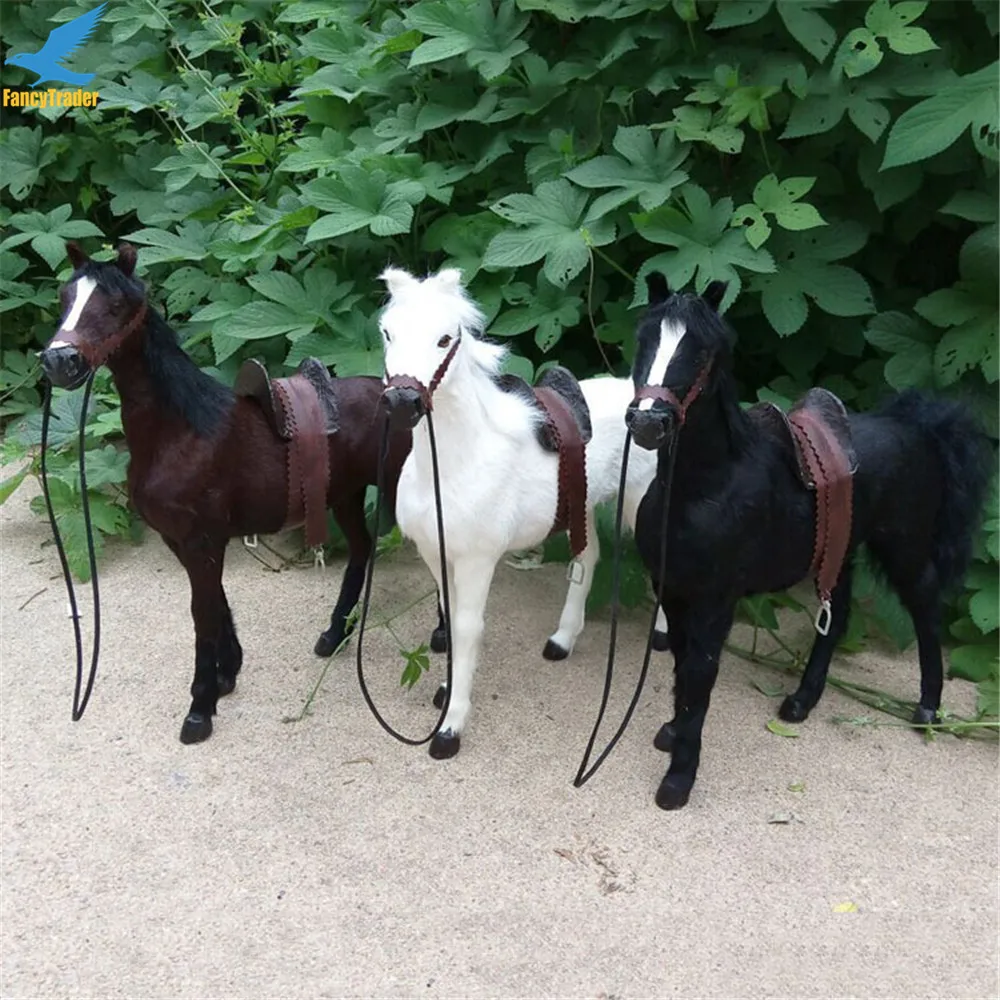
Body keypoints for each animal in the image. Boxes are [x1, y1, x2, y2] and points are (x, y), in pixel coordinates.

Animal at [39, 242, 414, 744]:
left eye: (115, 305)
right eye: (65, 298)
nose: (59, 362)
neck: (180, 433)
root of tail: (403, 398)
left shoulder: (202, 540)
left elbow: (202, 612)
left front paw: (200, 709)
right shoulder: (183, 540)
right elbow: (215, 603)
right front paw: (226, 674)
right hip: (345, 496)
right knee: (360, 549)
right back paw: (335, 635)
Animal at [374, 265, 665, 760]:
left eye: (444, 339)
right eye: (388, 333)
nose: (401, 403)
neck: (454, 464)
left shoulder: (477, 561)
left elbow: (467, 628)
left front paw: (450, 727)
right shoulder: (436, 553)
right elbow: (450, 620)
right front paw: (446, 693)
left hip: (642, 505)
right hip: (582, 506)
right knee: (587, 559)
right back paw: (562, 640)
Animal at [622, 273, 992, 810]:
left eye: (703, 351)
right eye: (644, 339)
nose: (649, 422)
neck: (704, 490)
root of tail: (917, 428)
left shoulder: (715, 602)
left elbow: (700, 674)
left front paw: (678, 781)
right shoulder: (672, 589)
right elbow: (683, 666)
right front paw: (672, 733)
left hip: (904, 550)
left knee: (926, 613)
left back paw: (928, 709)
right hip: (841, 555)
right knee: (836, 622)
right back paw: (802, 701)